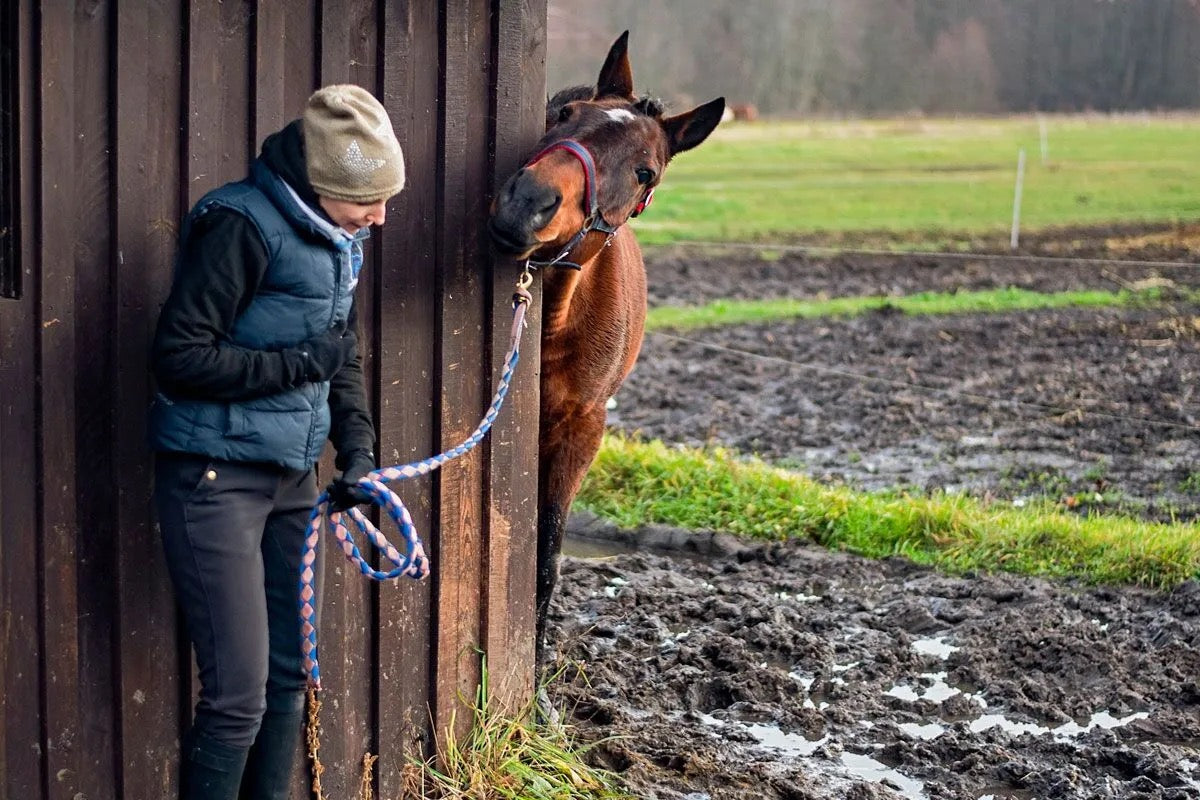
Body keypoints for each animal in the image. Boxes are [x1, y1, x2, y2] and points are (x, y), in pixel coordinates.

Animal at [487, 31, 720, 662]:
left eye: (645, 173)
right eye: (567, 115)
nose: (526, 203)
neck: (556, 322)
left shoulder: (582, 429)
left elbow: (546, 553)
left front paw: (538, 662)